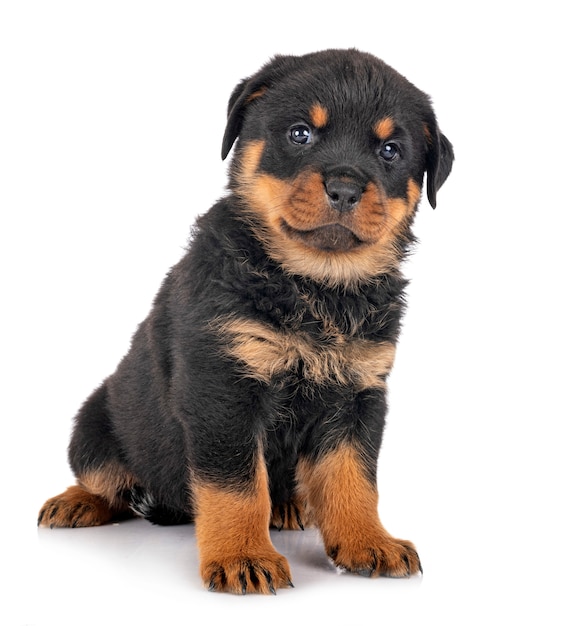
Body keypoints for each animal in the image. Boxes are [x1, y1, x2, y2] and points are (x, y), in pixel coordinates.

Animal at [39, 47, 454, 588]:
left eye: (390, 150)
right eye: (300, 133)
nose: (344, 188)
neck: (313, 286)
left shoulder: (359, 393)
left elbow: (353, 477)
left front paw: (369, 541)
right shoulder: (224, 387)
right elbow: (237, 486)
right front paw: (243, 557)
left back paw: (290, 507)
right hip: (92, 423)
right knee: (106, 480)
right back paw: (75, 502)